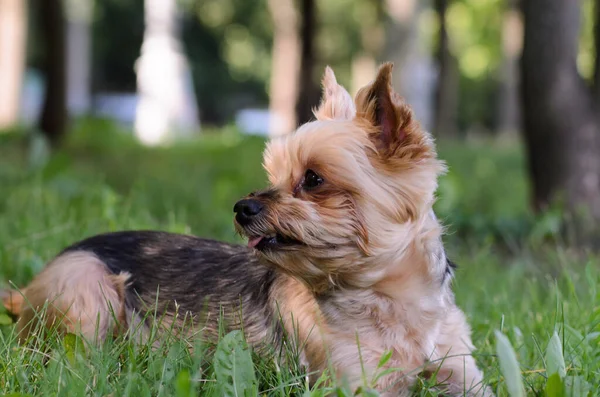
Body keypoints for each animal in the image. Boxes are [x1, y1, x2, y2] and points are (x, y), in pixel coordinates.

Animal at [1, 63, 492, 394]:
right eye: (274, 174)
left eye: (313, 179)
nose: (242, 206)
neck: (386, 296)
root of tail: (27, 290)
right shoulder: (356, 383)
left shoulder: (463, 376)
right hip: (88, 291)